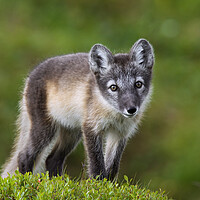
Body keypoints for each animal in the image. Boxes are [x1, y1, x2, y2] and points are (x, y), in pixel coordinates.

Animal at [1, 38, 154, 180]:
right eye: (113, 87)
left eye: (138, 84)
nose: (131, 109)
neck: (113, 113)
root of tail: (30, 76)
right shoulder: (91, 128)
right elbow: (97, 166)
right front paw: (98, 186)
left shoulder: (120, 134)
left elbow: (112, 168)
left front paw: (108, 186)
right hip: (45, 129)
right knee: (24, 155)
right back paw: (26, 181)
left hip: (72, 133)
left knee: (52, 159)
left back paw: (58, 183)